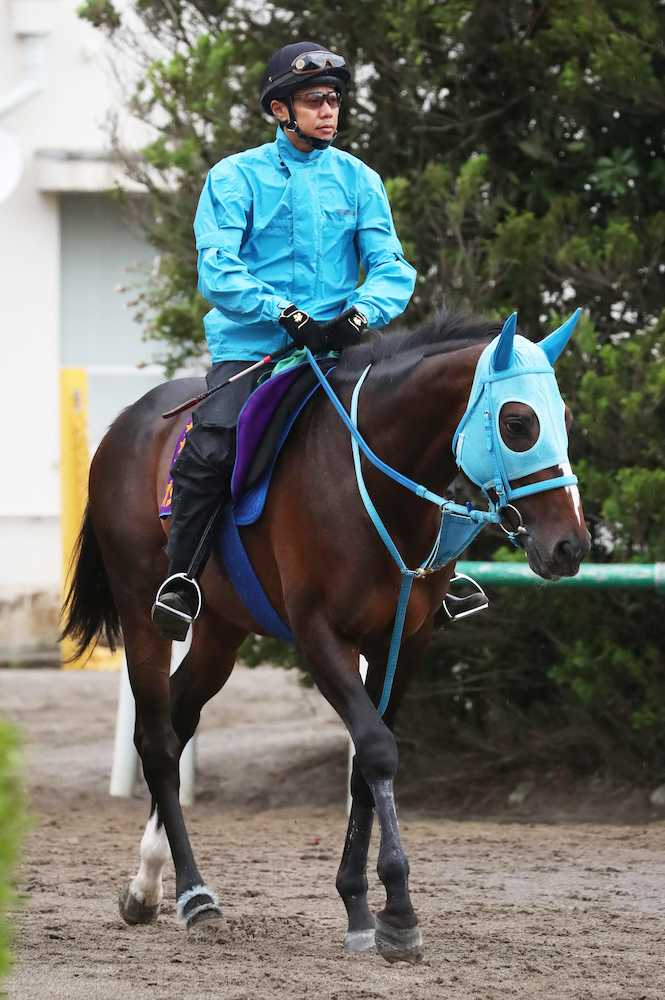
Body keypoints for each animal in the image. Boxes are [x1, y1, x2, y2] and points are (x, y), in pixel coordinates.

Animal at [61, 308, 588, 964]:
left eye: (565, 418)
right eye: (518, 423)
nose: (570, 545)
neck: (371, 482)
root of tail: (127, 422)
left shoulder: (402, 642)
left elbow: (367, 760)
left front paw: (361, 907)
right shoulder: (321, 637)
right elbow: (378, 750)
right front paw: (398, 913)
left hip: (221, 630)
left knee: (180, 718)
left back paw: (147, 882)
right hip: (141, 612)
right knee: (156, 738)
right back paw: (194, 894)